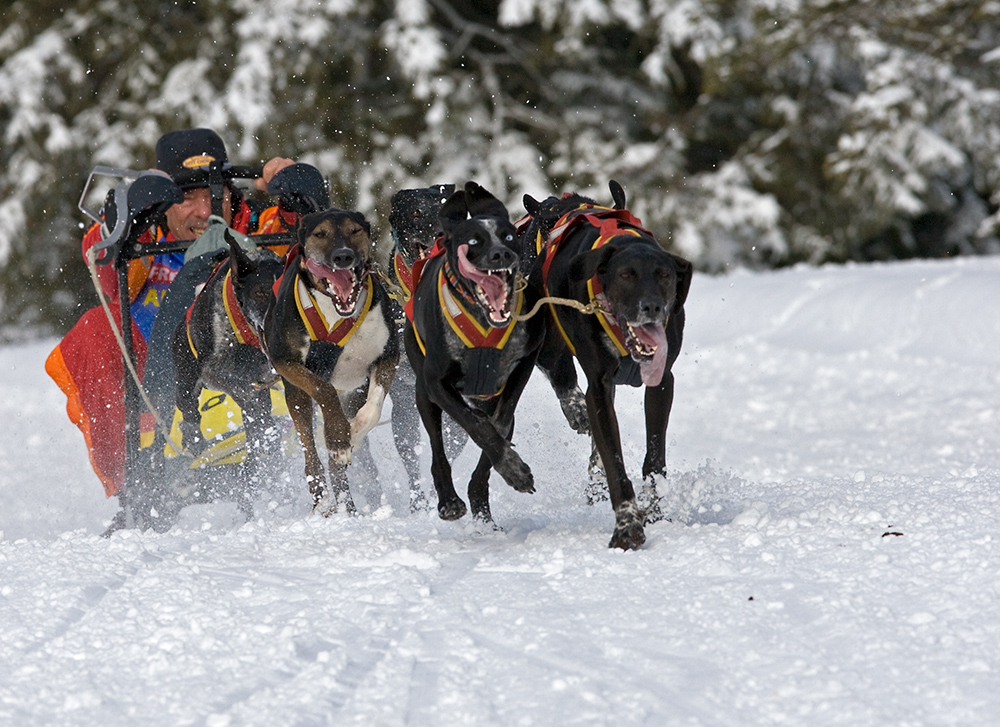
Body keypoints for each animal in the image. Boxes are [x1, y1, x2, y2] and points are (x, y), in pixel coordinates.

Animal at [266, 208, 398, 516]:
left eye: (354, 230)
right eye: (320, 233)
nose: (343, 256)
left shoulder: (387, 356)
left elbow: (373, 408)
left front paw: (354, 433)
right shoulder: (285, 362)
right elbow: (323, 390)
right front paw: (338, 436)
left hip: (352, 392)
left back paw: (346, 506)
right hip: (296, 398)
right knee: (310, 455)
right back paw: (324, 501)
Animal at [524, 182, 696, 552]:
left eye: (665, 275)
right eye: (626, 275)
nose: (652, 306)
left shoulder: (662, 382)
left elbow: (654, 459)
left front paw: (653, 510)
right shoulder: (598, 386)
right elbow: (613, 459)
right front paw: (627, 525)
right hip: (549, 344)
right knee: (564, 379)